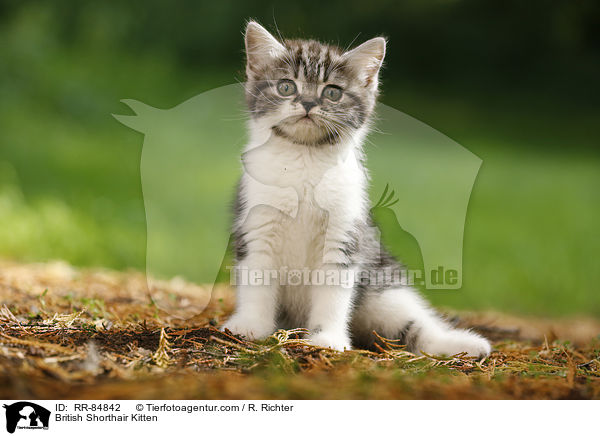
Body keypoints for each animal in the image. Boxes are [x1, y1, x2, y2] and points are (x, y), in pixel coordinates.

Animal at [223, 21, 490, 358]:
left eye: (332, 92)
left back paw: (461, 344)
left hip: (384, 287)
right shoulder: (256, 224)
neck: (305, 159)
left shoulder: (345, 232)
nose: (308, 103)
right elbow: (256, 279)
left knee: (416, 325)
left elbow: (334, 292)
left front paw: (327, 338)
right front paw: (250, 325)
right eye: (286, 87)